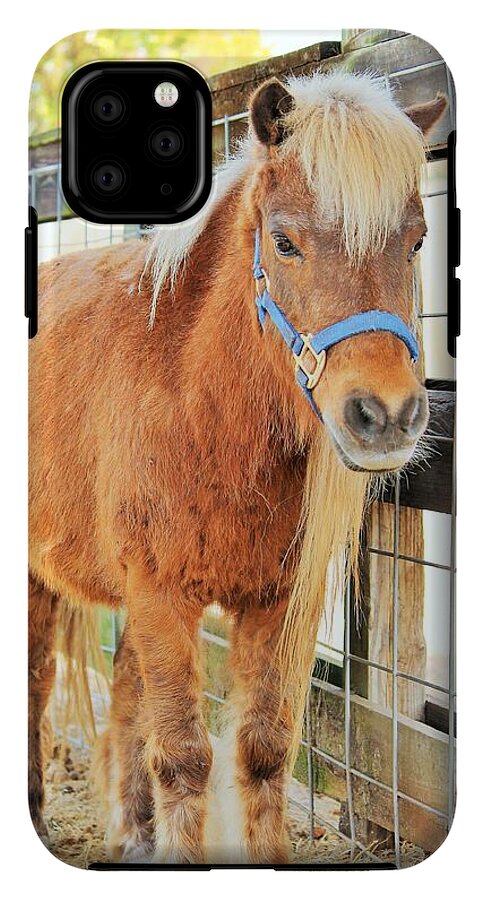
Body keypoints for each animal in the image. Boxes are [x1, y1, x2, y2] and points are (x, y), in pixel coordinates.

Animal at [28, 70, 447, 864]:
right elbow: (184, 757)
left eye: (416, 241)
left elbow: (262, 750)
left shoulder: (276, 603)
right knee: (38, 681)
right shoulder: (160, 594)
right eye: (283, 242)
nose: (385, 416)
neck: (200, 406)